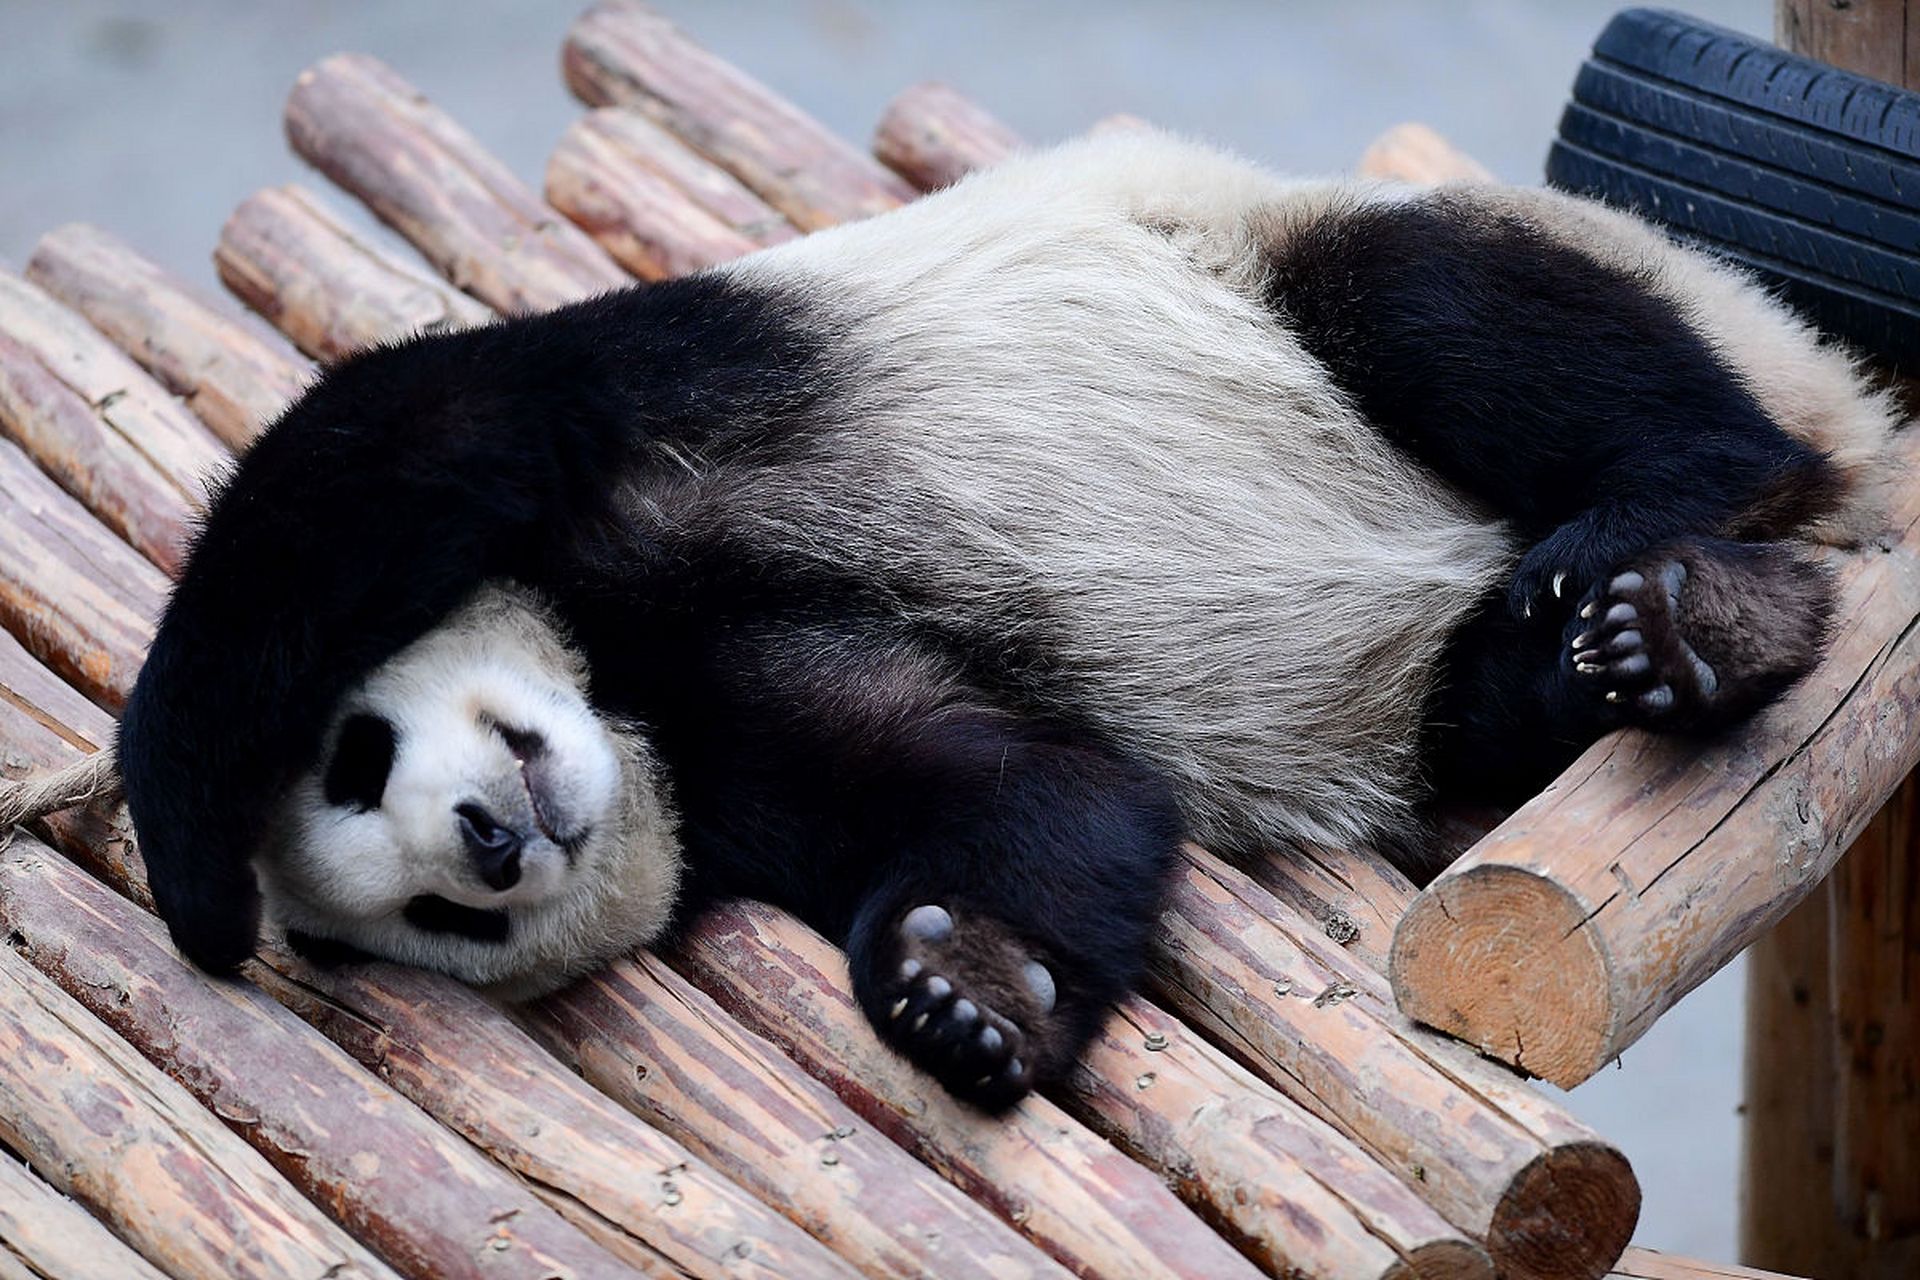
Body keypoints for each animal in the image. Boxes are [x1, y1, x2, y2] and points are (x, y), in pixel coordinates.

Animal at [123, 132, 1904, 1113]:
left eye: (363, 756)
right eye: (445, 922)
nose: (495, 835)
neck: (614, 670)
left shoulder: (625, 410)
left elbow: (386, 451)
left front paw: (193, 869)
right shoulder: (734, 746)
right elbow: (1032, 784)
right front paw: (966, 990)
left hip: (1300, 263)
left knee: (1460, 315)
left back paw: (1675, 514)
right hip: (1442, 691)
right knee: (1482, 699)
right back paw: (1689, 633)